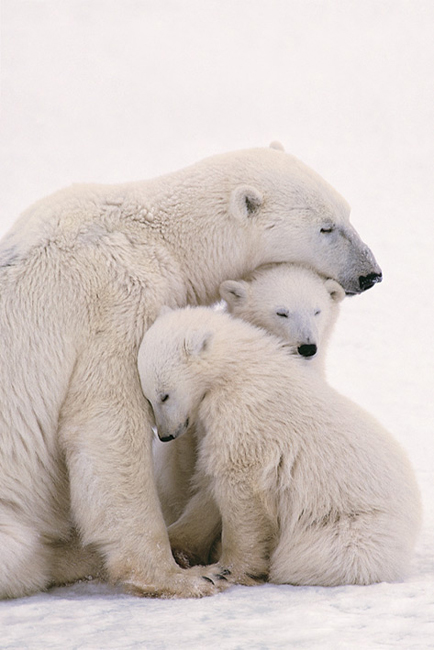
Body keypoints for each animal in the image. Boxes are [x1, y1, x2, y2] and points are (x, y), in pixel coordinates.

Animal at [138, 306, 421, 587]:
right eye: (148, 397)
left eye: (164, 395)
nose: (165, 435)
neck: (236, 369)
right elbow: (210, 486)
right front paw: (178, 545)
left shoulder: (245, 416)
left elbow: (240, 490)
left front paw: (230, 568)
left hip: (355, 527)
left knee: (312, 555)